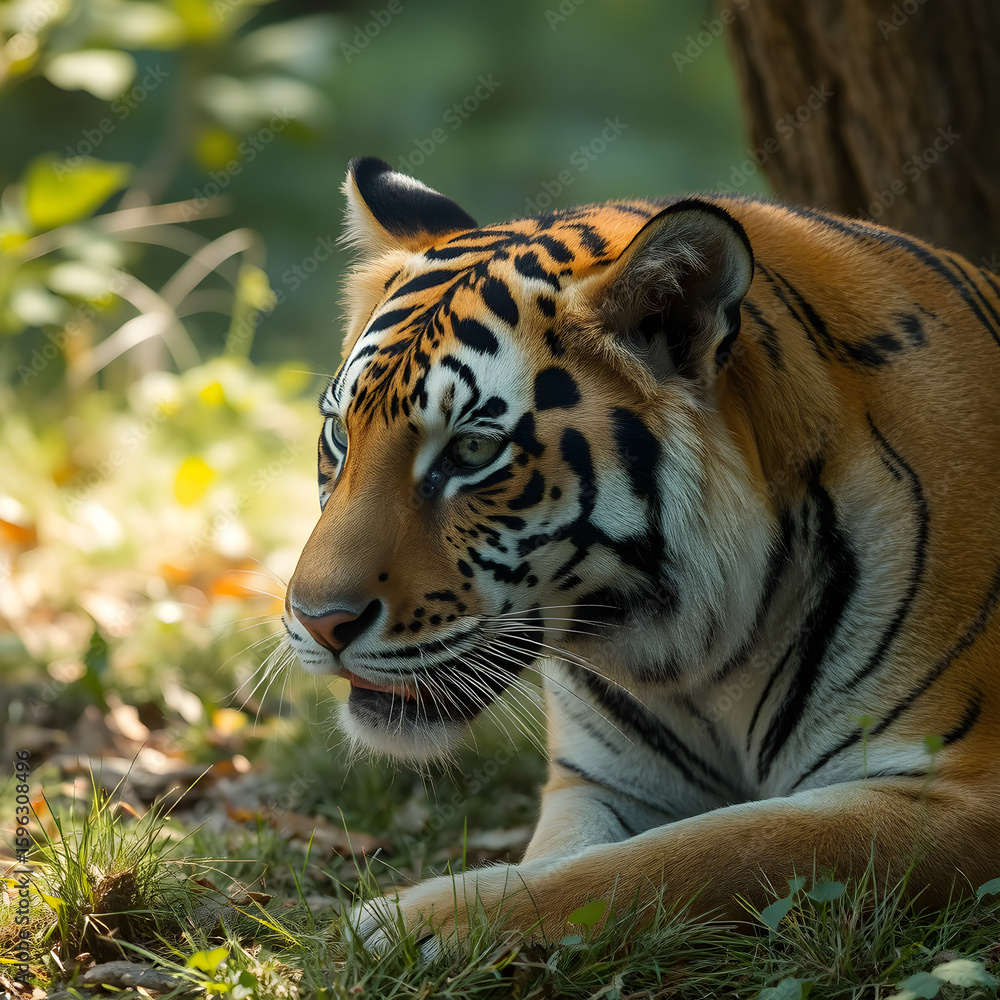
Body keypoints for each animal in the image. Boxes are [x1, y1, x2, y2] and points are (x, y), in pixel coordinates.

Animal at [283, 155, 1000, 950]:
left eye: (472, 451)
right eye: (340, 434)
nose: (316, 621)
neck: (699, 659)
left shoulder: (960, 794)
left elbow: (701, 854)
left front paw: (410, 922)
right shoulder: (599, 782)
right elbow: (566, 859)